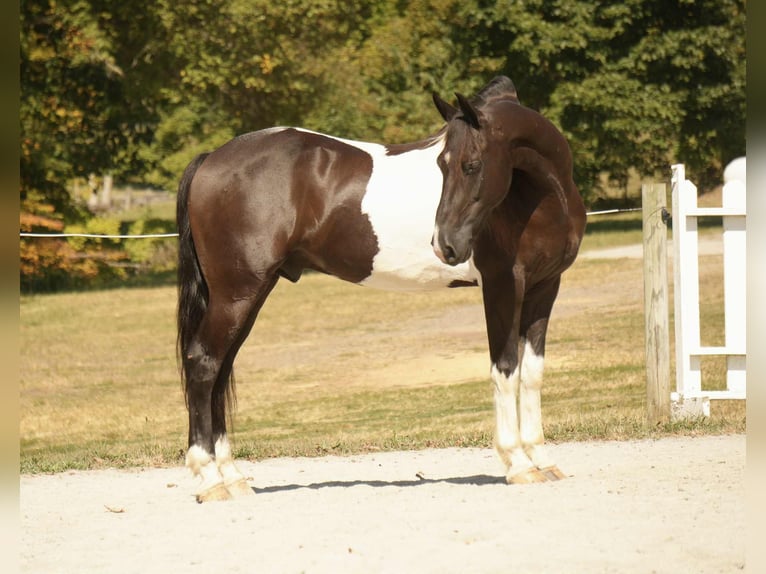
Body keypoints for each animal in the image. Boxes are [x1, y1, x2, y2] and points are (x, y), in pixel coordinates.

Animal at [176, 76, 586, 502]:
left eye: (470, 165)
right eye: (441, 164)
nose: (444, 245)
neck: (542, 200)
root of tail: (212, 158)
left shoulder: (544, 289)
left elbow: (532, 373)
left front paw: (542, 460)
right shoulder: (503, 286)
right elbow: (504, 369)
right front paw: (518, 464)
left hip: (248, 295)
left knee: (220, 369)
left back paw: (232, 477)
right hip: (236, 294)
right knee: (203, 364)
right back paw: (210, 479)